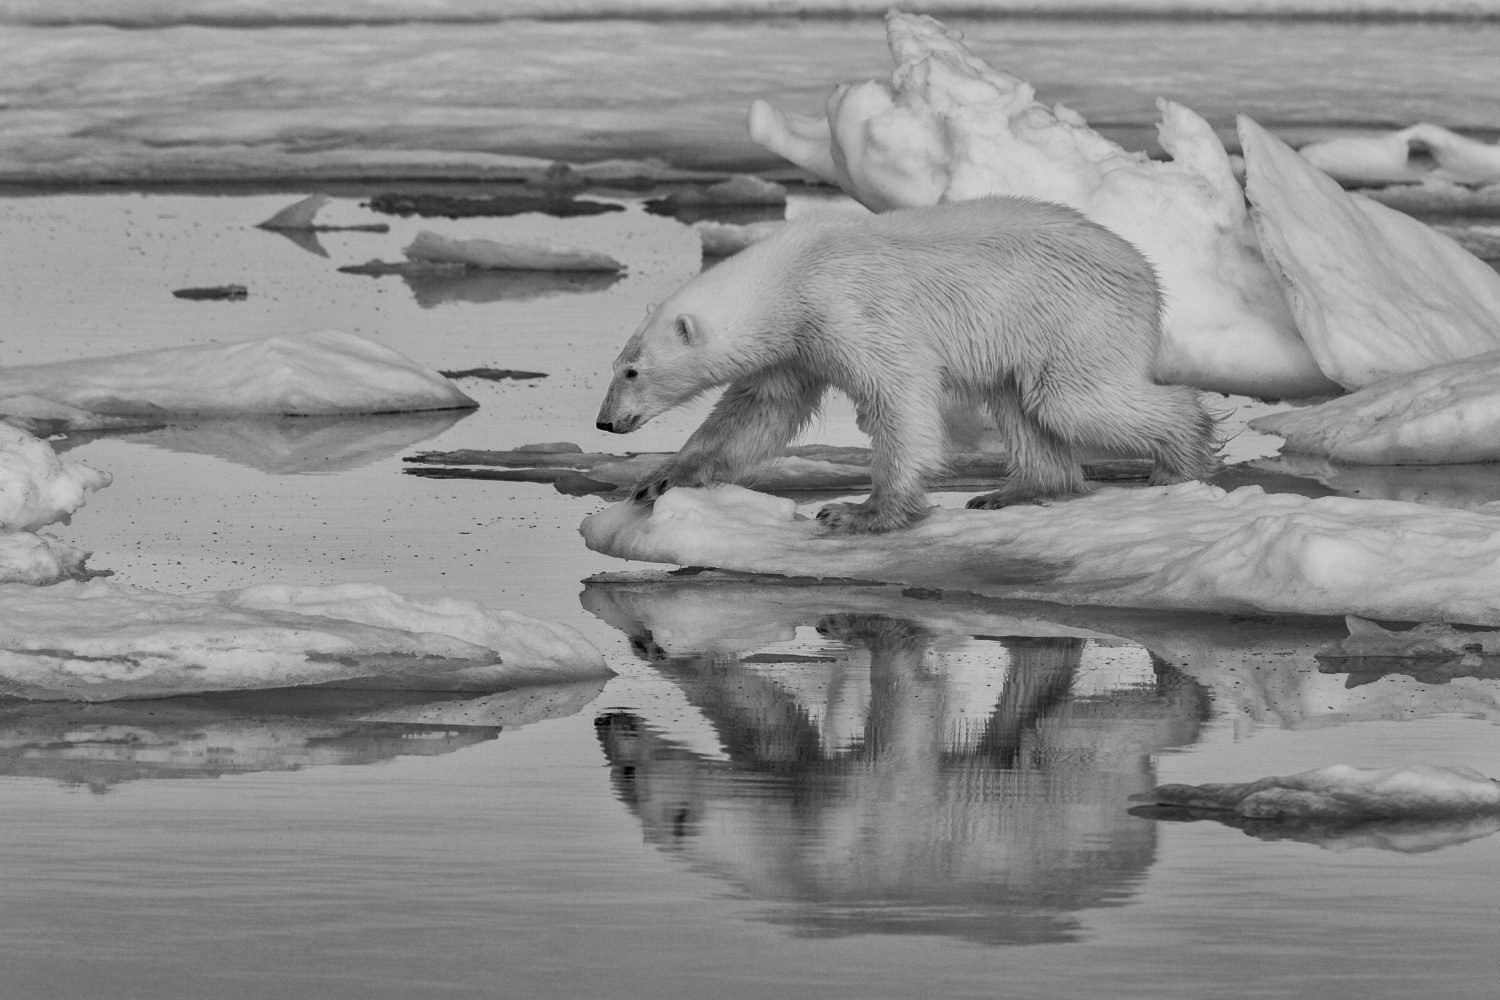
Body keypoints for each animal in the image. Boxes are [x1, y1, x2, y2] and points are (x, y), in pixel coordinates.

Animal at [595, 195, 1219, 534]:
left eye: (631, 370)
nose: (605, 421)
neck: (790, 277)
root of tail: (1146, 272)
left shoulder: (847, 307)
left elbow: (897, 393)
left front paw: (859, 513)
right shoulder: (796, 348)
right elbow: (758, 410)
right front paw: (660, 478)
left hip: (1072, 314)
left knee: (1070, 400)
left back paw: (1178, 464)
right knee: (1019, 401)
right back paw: (1011, 490)